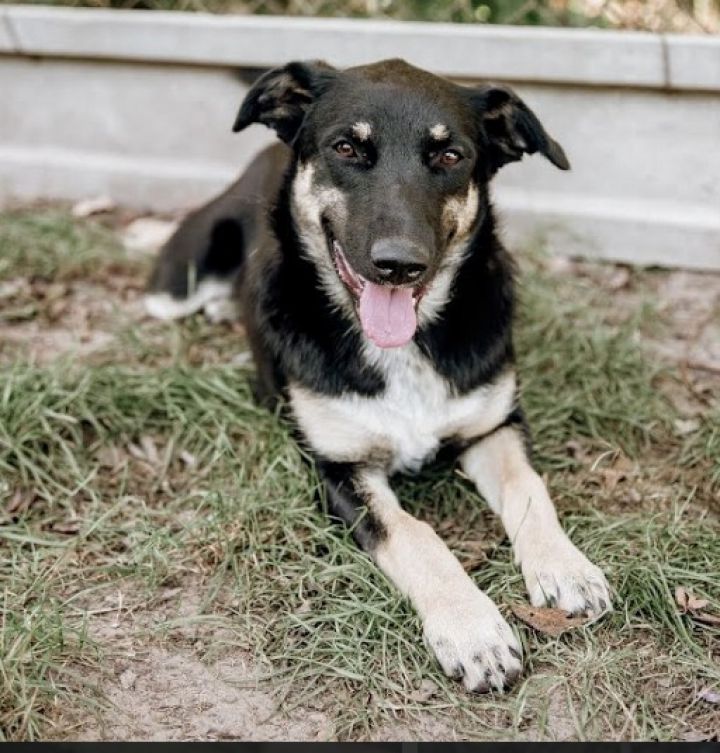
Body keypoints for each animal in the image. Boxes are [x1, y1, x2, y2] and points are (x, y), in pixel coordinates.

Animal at [146, 59, 611, 693]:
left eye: (450, 155)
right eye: (347, 147)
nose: (398, 264)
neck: (402, 350)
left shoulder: (494, 425)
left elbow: (528, 487)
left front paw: (565, 565)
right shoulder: (339, 469)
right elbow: (415, 534)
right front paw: (472, 629)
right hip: (177, 281)